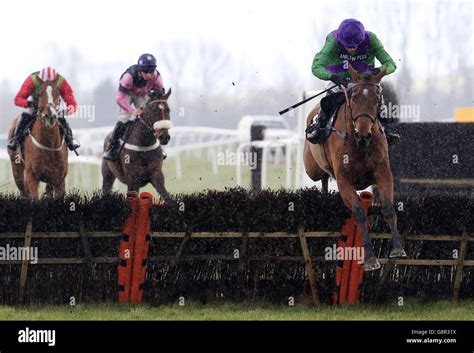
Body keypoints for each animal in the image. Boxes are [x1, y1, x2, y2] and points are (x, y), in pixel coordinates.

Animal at [306, 66, 406, 270]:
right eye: (354, 98)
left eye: (377, 100)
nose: (364, 134)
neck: (359, 144)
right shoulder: (344, 180)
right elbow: (359, 213)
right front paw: (370, 259)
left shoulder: (383, 173)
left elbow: (388, 208)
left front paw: (398, 249)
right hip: (311, 168)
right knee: (321, 176)